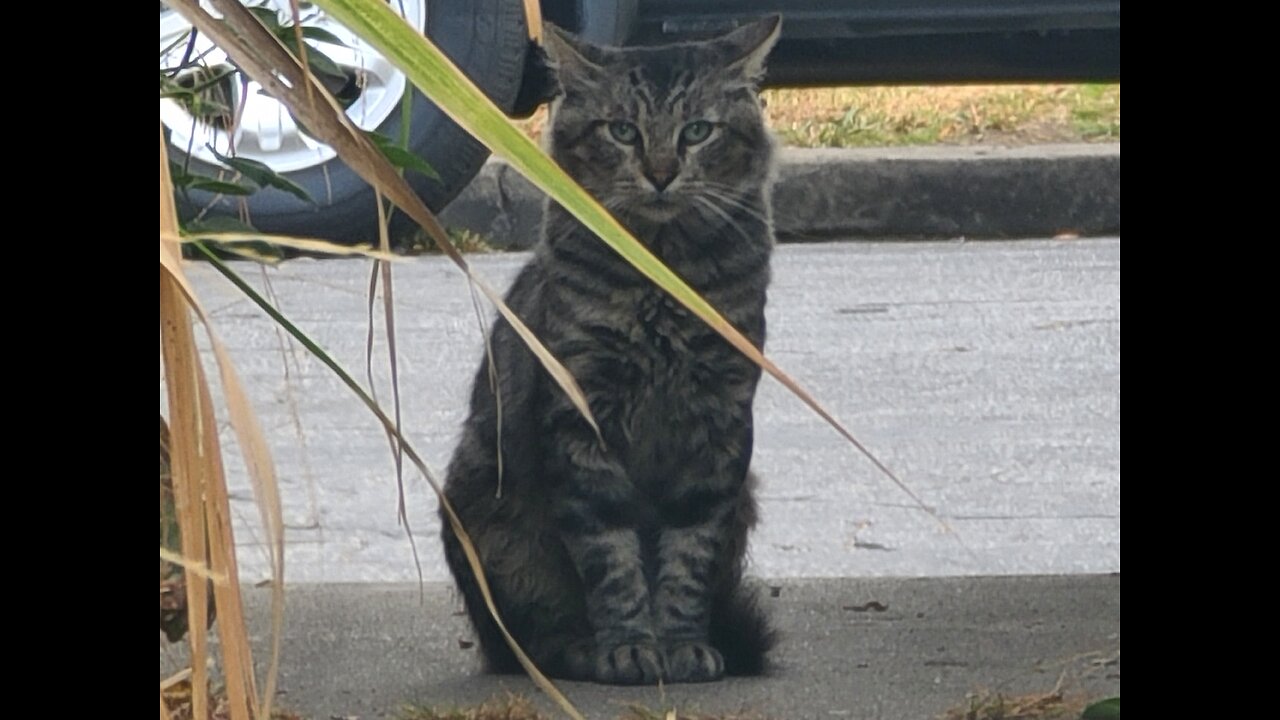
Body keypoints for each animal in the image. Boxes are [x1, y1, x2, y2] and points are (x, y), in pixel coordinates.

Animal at [440, 14, 778, 681]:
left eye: (697, 131)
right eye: (623, 131)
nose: (661, 172)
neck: (662, 276)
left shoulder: (721, 421)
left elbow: (688, 557)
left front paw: (681, 644)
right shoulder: (582, 413)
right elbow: (612, 558)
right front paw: (629, 646)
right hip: (479, 501)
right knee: (525, 644)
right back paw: (579, 650)